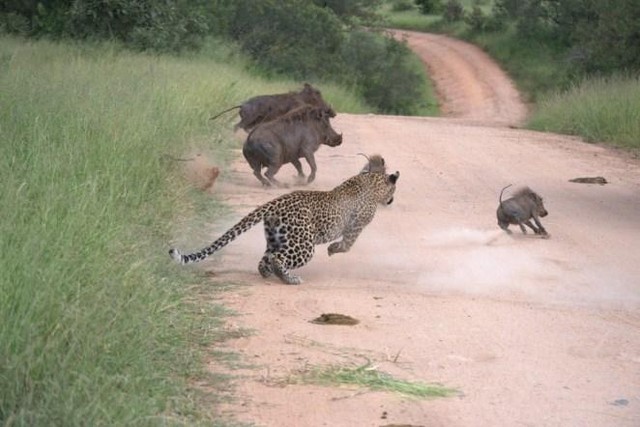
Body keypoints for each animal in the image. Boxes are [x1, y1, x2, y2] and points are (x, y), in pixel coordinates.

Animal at [170, 169, 400, 286]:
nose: (392, 200)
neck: (372, 181)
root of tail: (274, 202)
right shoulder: (357, 225)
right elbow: (347, 244)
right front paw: (333, 249)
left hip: (276, 238)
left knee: (266, 259)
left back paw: (269, 274)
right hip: (304, 244)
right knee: (277, 258)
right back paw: (290, 279)